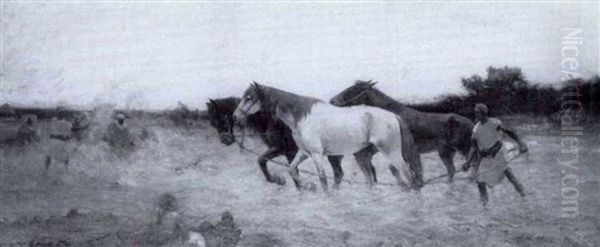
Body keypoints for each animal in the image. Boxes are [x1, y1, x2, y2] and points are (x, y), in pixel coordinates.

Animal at [206, 96, 376, 187]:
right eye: (212, 122)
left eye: (220, 118)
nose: (225, 140)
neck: (273, 121)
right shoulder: (290, 153)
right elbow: (290, 169)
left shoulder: (282, 149)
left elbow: (261, 160)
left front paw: (276, 180)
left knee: (340, 173)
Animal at [232, 82, 424, 192]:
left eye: (249, 98)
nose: (235, 116)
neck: (301, 117)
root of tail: (394, 116)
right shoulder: (303, 153)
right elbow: (292, 169)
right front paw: (305, 186)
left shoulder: (316, 155)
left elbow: (323, 178)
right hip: (364, 155)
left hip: (392, 153)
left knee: (409, 175)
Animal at [328, 80, 474, 181]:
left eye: (354, 89)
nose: (332, 101)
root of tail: (471, 123)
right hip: (446, 152)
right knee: (452, 170)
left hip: (464, 148)